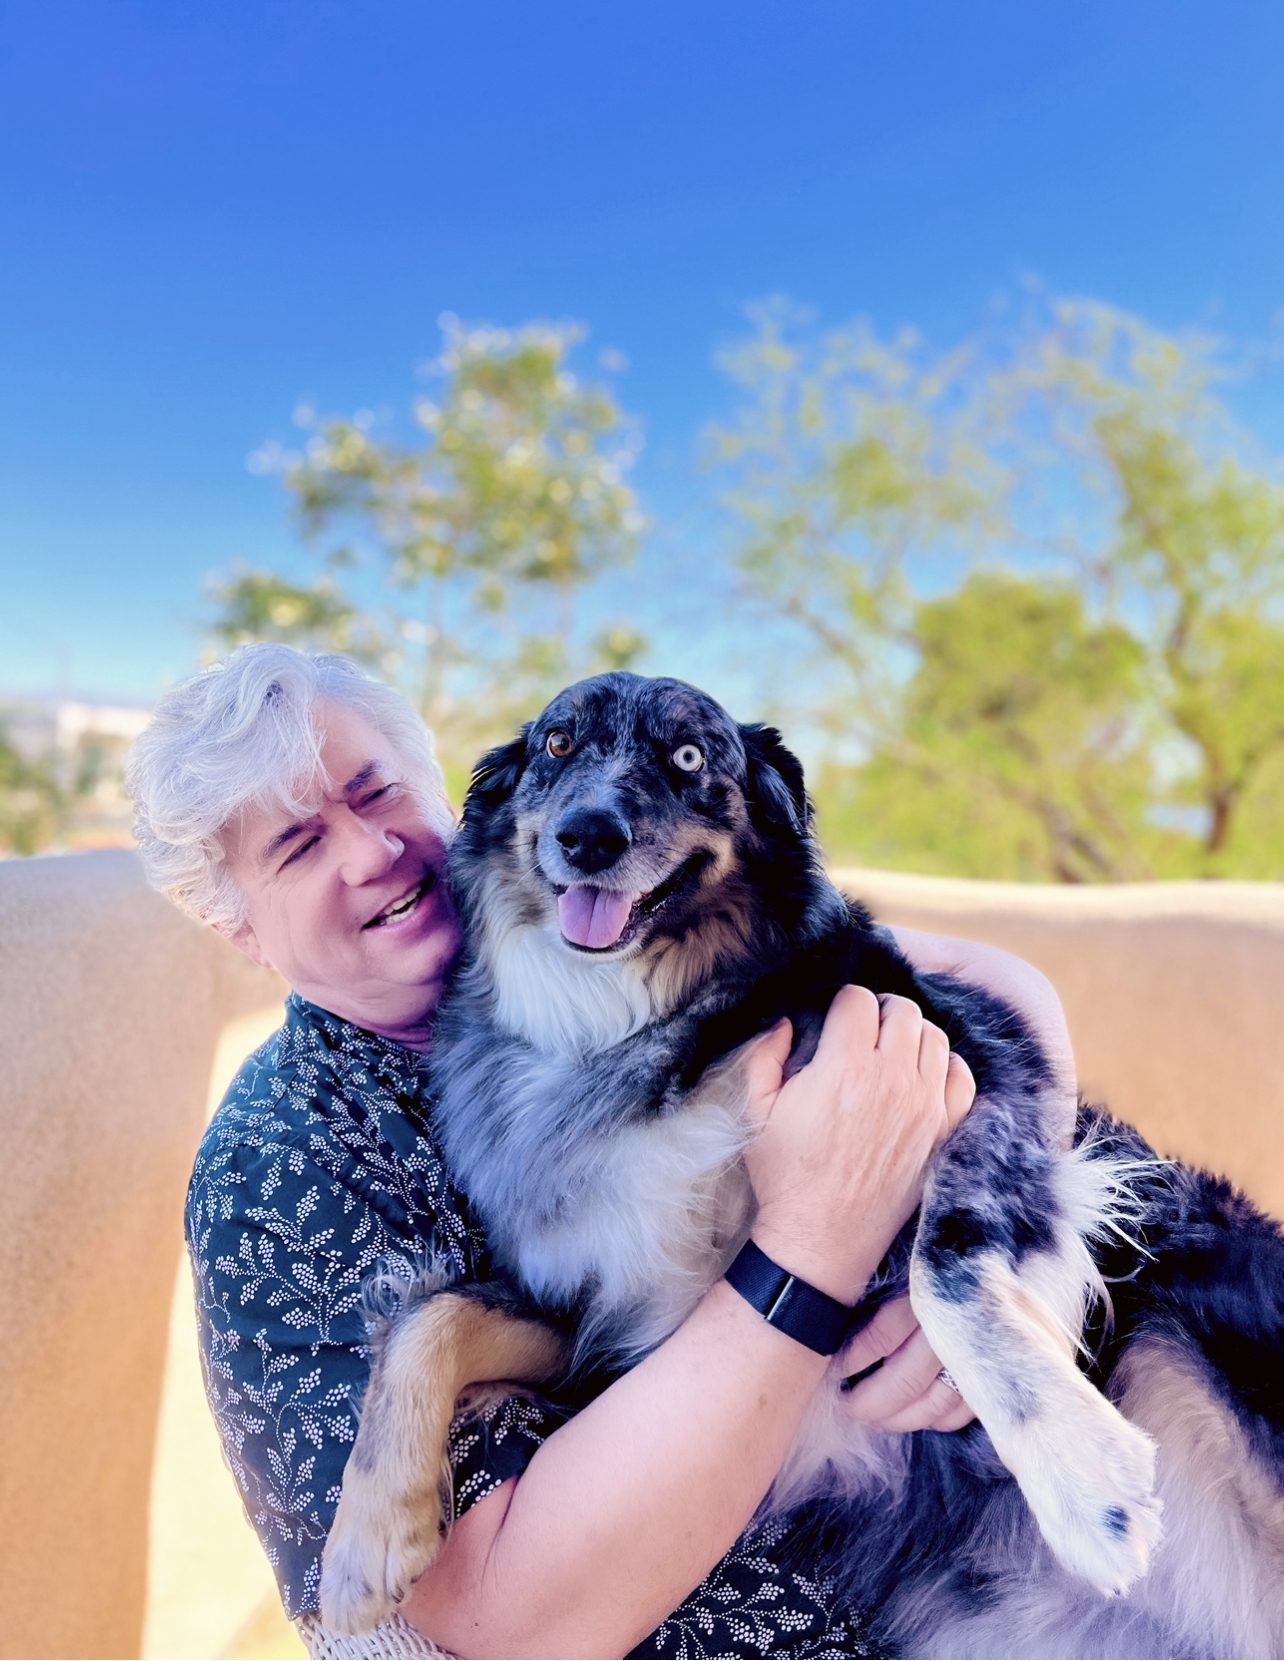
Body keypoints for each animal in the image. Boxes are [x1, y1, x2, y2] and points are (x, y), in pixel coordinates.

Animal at [317, 667, 1282, 1654]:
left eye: (690, 755)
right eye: (557, 743)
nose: (586, 835)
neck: (633, 1019)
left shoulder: (990, 1071)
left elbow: (943, 1269)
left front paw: (1086, 1486)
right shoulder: (605, 1316)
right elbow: (430, 1314)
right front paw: (366, 1538)